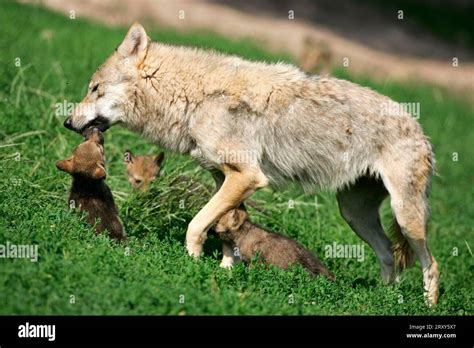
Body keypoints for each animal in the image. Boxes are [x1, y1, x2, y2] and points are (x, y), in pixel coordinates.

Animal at [63, 22, 440, 304]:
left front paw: (192, 264)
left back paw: (425, 306)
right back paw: (385, 299)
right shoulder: (225, 179)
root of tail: (420, 128)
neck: (193, 99)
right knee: (389, 253)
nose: (67, 122)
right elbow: (228, 229)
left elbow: (196, 225)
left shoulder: (247, 177)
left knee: (431, 264)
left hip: (406, 218)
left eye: (94, 88)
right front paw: (225, 271)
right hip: (354, 214)